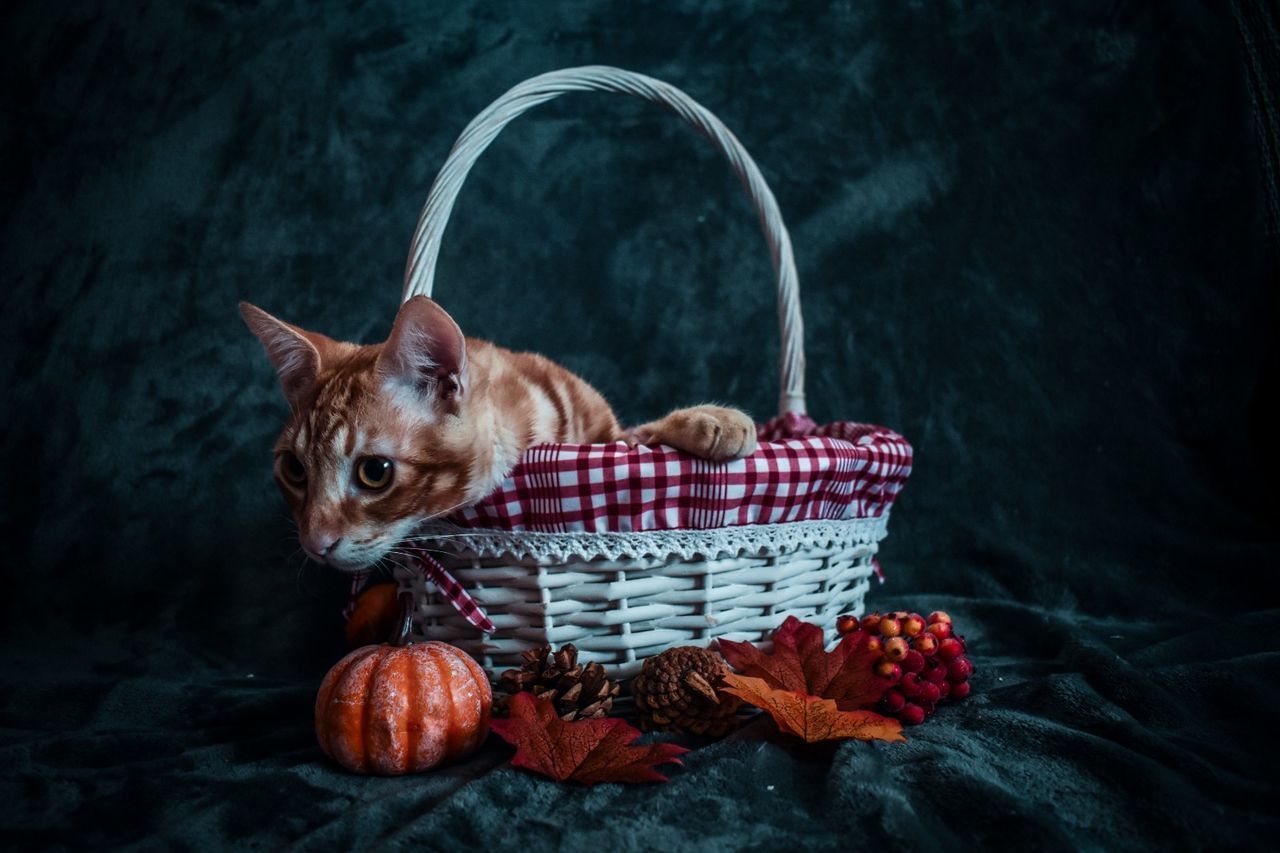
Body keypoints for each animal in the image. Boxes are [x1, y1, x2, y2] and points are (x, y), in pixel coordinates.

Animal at [241, 295, 747, 568]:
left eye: (374, 472)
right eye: (294, 469)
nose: (315, 544)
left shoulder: (610, 433)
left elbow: (637, 433)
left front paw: (711, 420)